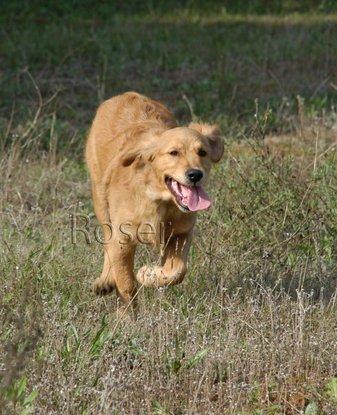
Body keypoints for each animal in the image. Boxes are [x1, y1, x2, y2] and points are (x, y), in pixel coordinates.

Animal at [86, 92, 223, 310]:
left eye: (202, 152)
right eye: (173, 152)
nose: (195, 175)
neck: (159, 201)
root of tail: (125, 94)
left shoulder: (182, 233)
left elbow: (177, 271)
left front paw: (148, 274)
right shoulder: (123, 238)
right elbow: (126, 284)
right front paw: (127, 316)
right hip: (100, 198)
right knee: (107, 240)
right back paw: (105, 281)